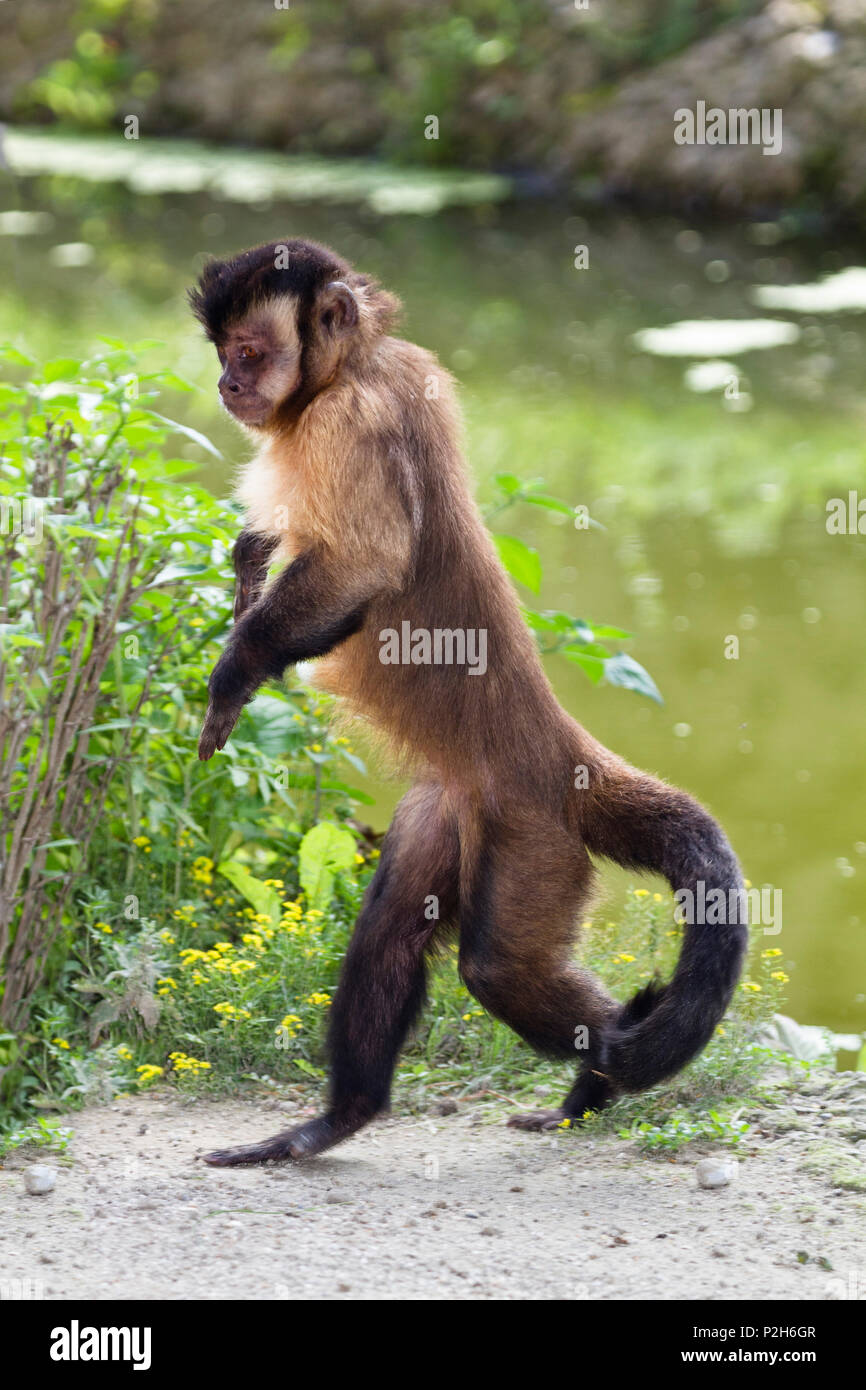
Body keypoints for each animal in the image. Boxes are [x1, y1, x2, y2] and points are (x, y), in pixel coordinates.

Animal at [189, 236, 750, 1162]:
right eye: (225, 356)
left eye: (249, 353)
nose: (229, 386)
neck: (352, 370)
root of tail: (564, 756)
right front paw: (247, 563)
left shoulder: (352, 421)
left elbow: (362, 565)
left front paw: (235, 674)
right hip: (449, 810)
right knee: (392, 925)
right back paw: (338, 1120)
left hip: (530, 838)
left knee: (496, 967)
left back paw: (598, 1078)